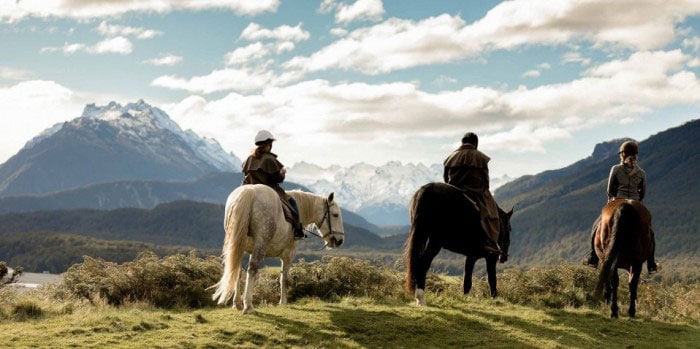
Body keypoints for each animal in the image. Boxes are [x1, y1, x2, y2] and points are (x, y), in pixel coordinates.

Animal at [212, 184, 346, 314]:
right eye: (335, 215)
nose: (340, 241)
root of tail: (249, 191)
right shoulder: (288, 254)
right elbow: (284, 278)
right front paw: (283, 302)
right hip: (261, 243)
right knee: (252, 269)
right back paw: (248, 306)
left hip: (238, 244)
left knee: (237, 270)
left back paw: (237, 304)